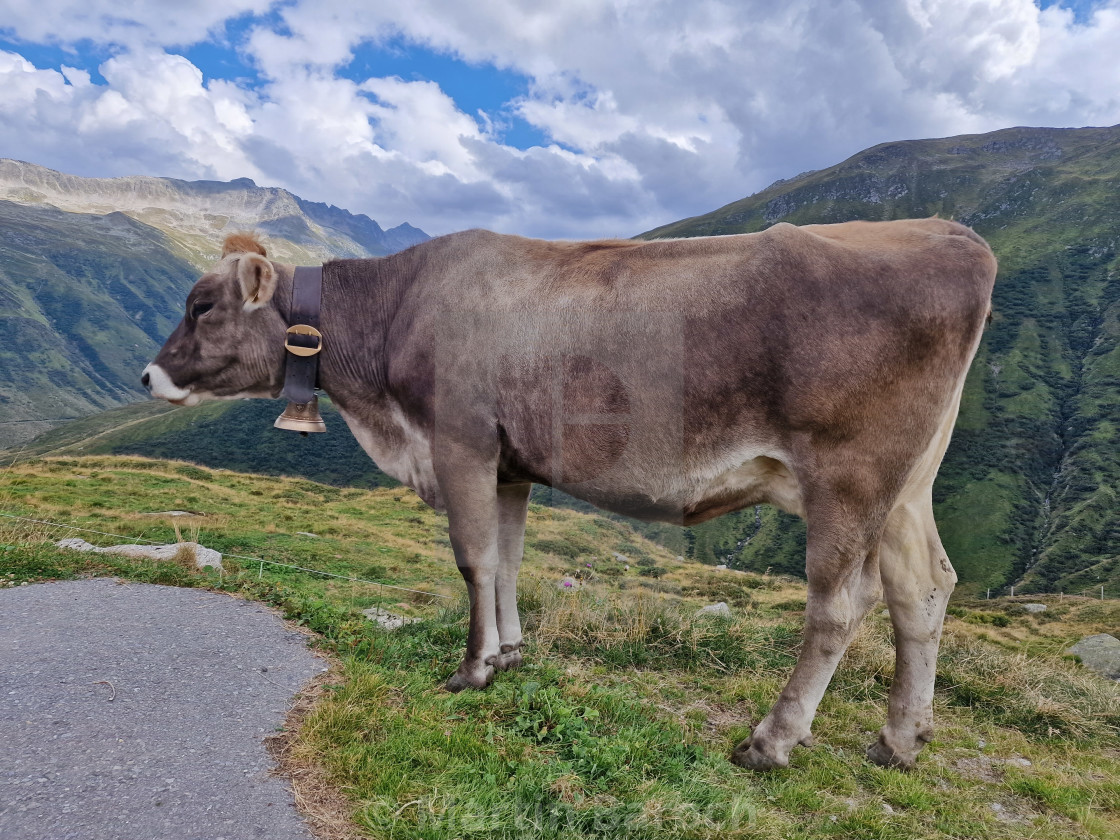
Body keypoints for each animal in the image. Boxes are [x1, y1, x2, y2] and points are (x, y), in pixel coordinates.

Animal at [144, 220, 994, 775]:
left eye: (202, 307)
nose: (148, 377)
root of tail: (951, 235)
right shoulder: (510, 464)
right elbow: (510, 561)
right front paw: (511, 652)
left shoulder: (460, 442)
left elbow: (473, 561)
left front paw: (471, 670)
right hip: (908, 487)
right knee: (923, 589)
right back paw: (899, 741)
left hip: (849, 475)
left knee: (840, 605)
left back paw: (772, 741)